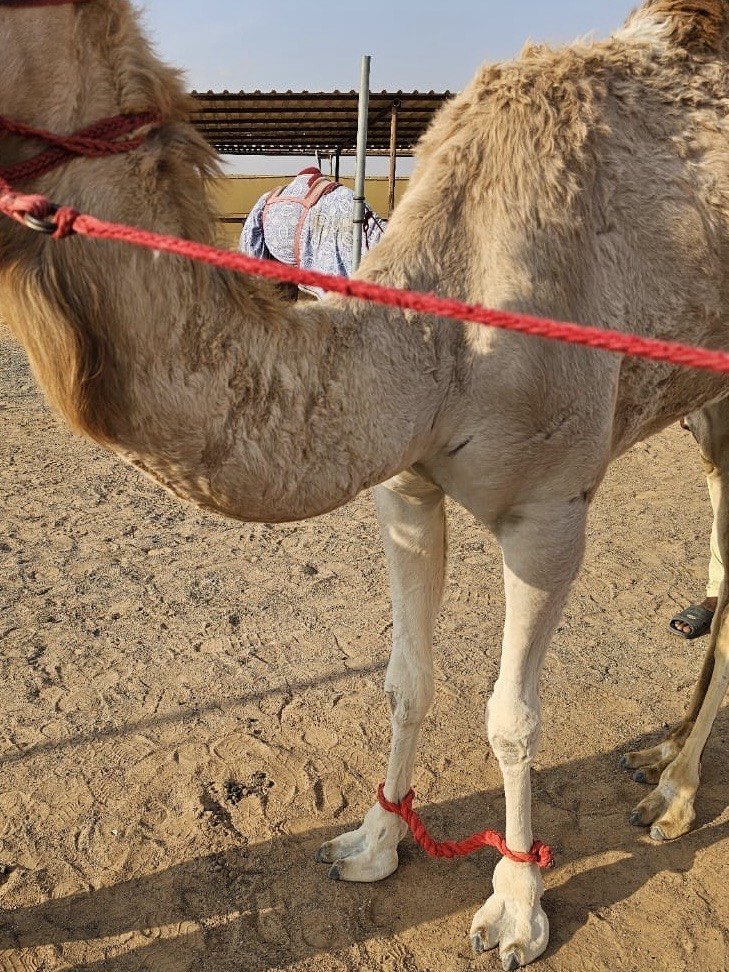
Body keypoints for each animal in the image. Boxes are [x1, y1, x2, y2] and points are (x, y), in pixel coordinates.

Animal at [1, 0, 729, 967]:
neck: (442, 341)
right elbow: (404, 678)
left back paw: (674, 794)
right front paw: (375, 841)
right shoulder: (406, 489)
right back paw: (658, 754)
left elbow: (512, 718)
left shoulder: (549, 512)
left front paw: (514, 906)